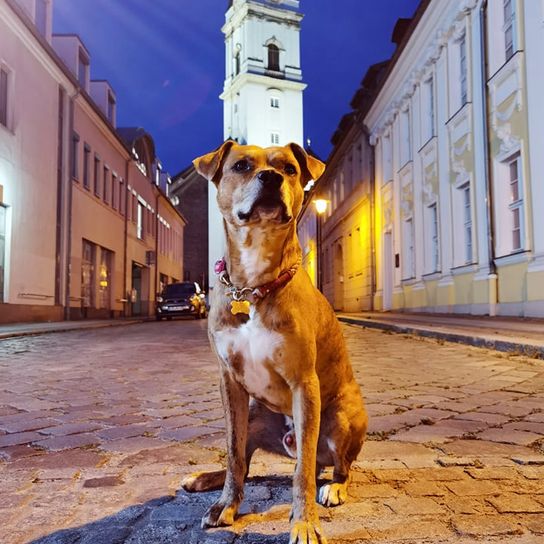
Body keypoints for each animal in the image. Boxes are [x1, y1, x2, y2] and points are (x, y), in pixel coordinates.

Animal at [184, 141, 370, 544]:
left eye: (288, 168)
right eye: (241, 165)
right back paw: (206, 479)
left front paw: (304, 523)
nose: (269, 178)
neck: (253, 287)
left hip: (342, 417)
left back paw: (334, 487)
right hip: (256, 416)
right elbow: (233, 453)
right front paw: (226, 507)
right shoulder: (230, 384)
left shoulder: (304, 384)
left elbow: (301, 475)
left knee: (336, 467)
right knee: (244, 461)